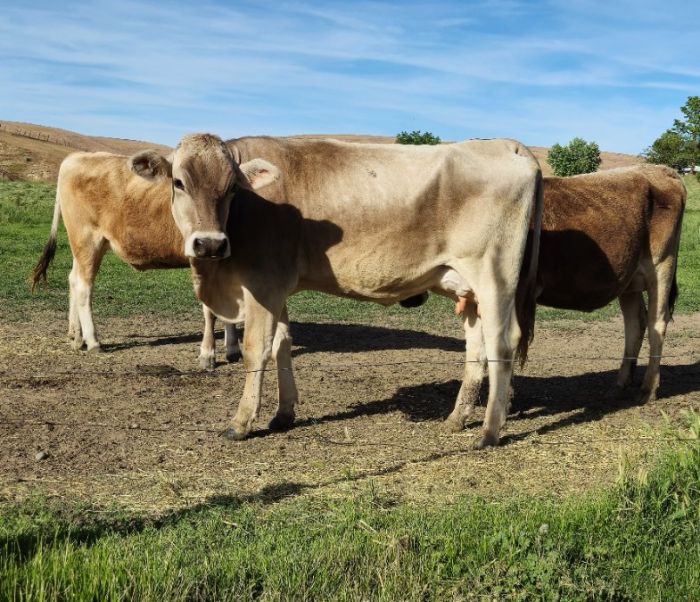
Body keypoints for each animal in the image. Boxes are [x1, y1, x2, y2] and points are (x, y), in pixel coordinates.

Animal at [31, 134, 274, 364]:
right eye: (178, 182)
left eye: (232, 187)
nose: (210, 242)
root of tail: (76, 157)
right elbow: (210, 307)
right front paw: (209, 354)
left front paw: (232, 349)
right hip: (88, 239)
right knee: (84, 286)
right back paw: (92, 341)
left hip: (80, 245)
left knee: (73, 278)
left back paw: (76, 336)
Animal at [133, 135, 548, 446]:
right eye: (179, 182)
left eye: (232, 188)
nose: (209, 244)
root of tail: (509, 145)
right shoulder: (278, 286)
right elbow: (282, 344)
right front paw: (283, 413)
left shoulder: (261, 284)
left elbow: (257, 349)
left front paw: (241, 421)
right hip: (469, 288)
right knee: (477, 348)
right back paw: (457, 418)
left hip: (494, 275)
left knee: (502, 343)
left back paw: (489, 431)